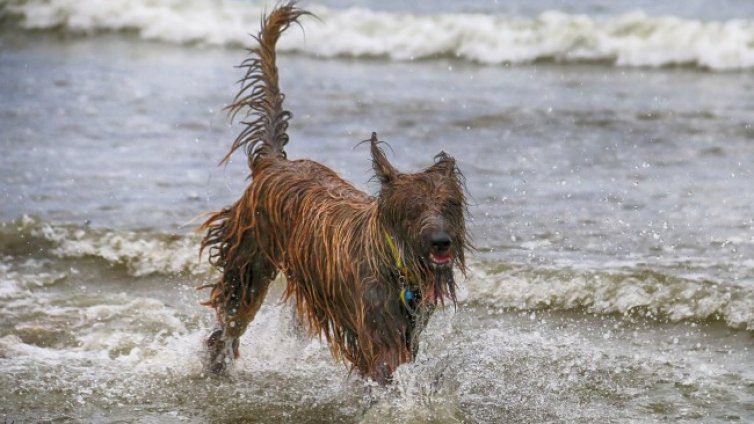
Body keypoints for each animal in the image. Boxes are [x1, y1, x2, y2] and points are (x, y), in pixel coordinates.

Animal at [198, 1, 470, 384]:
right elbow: (386, 364)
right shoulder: (376, 328)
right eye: (413, 209)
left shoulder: (410, 325)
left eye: (449, 205)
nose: (441, 242)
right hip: (249, 260)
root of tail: (272, 164)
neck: (394, 262)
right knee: (230, 321)